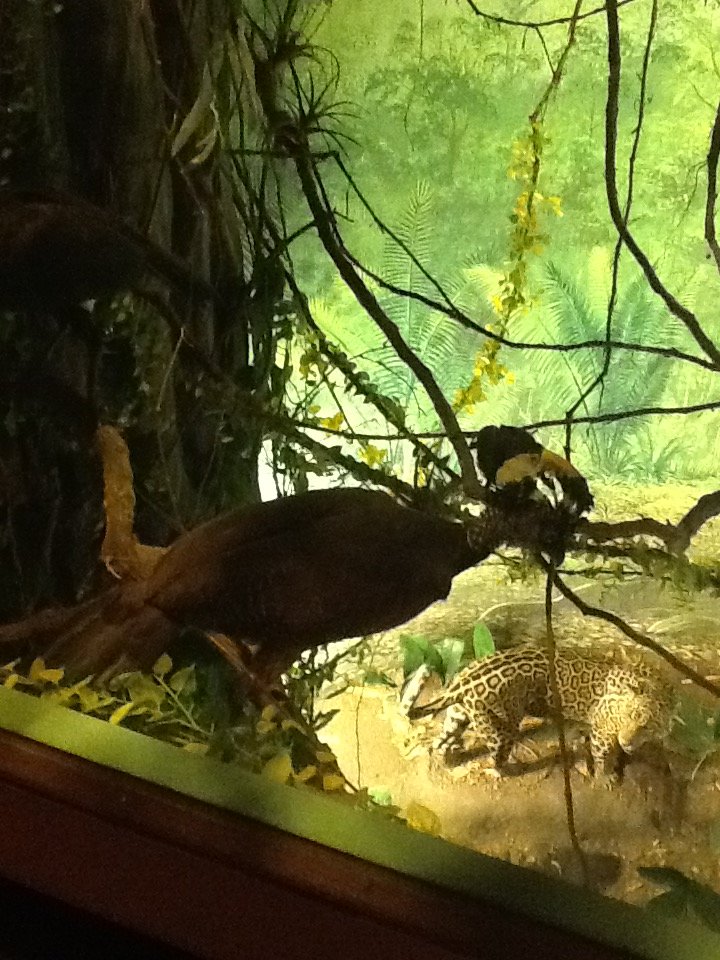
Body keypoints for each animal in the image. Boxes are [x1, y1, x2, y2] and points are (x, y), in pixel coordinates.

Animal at [404, 644, 677, 782]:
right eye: (629, 717)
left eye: (646, 726)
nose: (627, 740)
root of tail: (464, 681)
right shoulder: (601, 730)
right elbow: (602, 754)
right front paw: (606, 775)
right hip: (502, 730)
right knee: (496, 758)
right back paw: (506, 769)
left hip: (458, 715)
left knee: (441, 740)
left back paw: (447, 754)